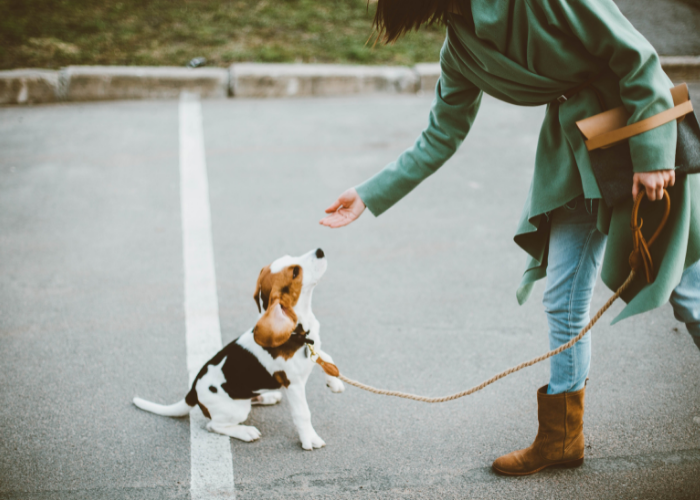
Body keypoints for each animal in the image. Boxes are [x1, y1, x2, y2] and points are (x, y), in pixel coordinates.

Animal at [133, 249, 344, 450]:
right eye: (295, 272)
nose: (320, 251)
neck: (298, 331)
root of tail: (192, 392)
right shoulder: (293, 385)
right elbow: (303, 414)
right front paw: (310, 439)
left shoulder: (314, 347)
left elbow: (326, 358)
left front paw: (334, 381)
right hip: (236, 410)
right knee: (213, 426)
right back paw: (245, 431)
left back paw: (267, 396)